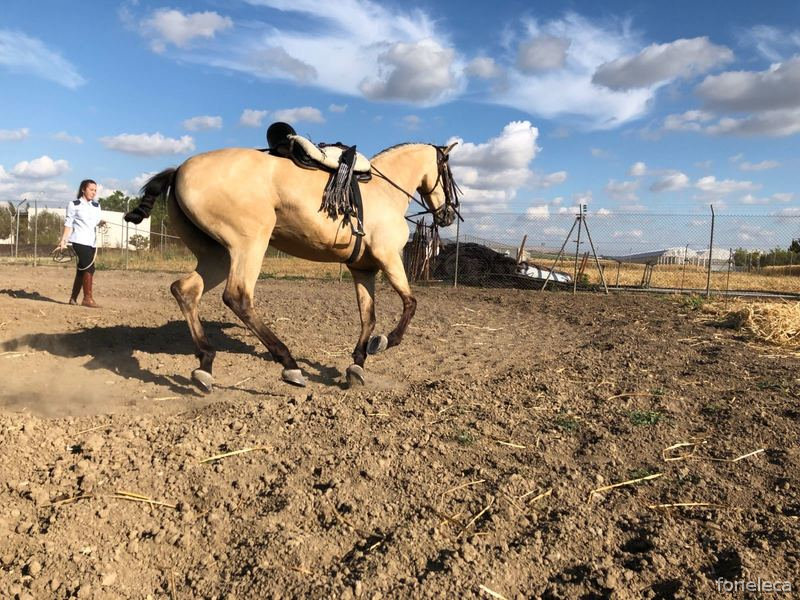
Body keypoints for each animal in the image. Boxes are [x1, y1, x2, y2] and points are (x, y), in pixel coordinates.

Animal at [124, 141, 460, 391]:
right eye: (449, 173)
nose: (449, 215)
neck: (383, 190)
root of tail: (180, 169)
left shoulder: (364, 269)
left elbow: (369, 317)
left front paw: (357, 364)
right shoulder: (388, 259)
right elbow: (410, 303)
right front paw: (383, 343)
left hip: (217, 256)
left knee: (185, 290)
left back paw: (206, 363)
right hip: (249, 244)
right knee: (238, 297)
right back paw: (289, 365)